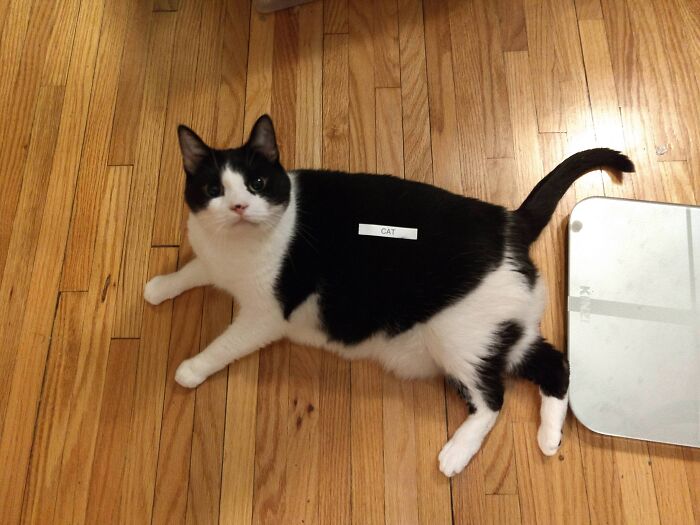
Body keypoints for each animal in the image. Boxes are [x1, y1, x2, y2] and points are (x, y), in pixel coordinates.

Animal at [144, 114, 636, 474]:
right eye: (213, 189)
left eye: (258, 184)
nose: (240, 206)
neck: (235, 250)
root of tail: (510, 221)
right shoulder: (212, 259)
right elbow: (192, 269)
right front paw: (159, 287)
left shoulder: (264, 316)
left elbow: (223, 344)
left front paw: (191, 368)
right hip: (499, 329)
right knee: (553, 363)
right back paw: (549, 437)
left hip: (458, 334)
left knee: (493, 399)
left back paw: (456, 454)